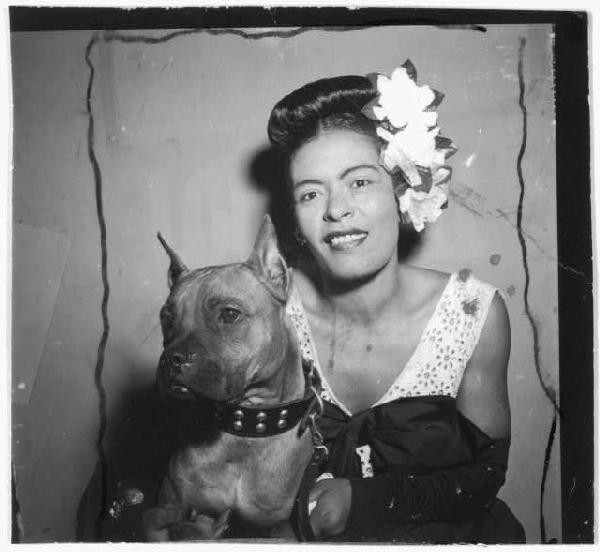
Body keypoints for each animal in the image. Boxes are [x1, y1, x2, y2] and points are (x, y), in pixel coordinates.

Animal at [142, 216, 323, 541]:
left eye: (229, 314)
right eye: (167, 318)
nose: (171, 360)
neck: (244, 431)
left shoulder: (282, 529)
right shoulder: (173, 510)